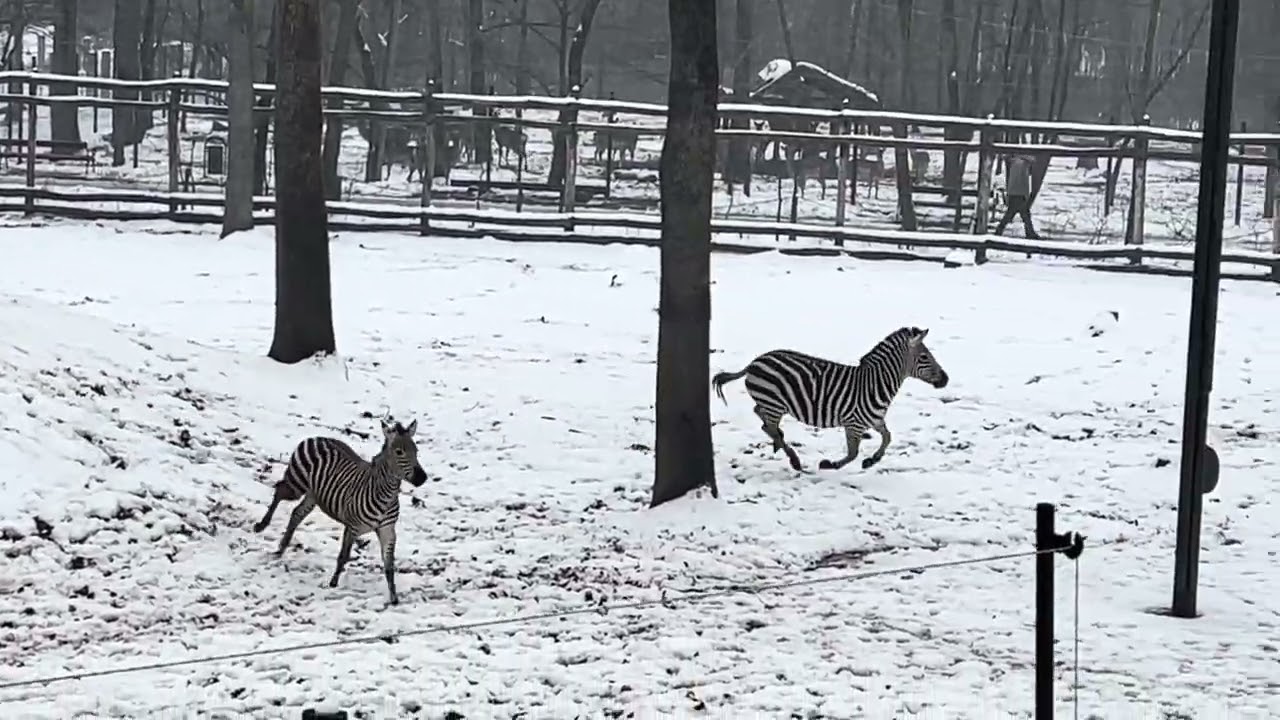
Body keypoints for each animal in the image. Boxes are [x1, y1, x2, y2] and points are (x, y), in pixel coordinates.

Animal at [252, 417, 428, 605]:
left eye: (416, 451)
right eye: (399, 452)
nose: (422, 478)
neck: (387, 495)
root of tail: (315, 437)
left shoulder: (388, 531)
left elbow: (389, 566)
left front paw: (394, 597)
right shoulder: (352, 527)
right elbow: (344, 556)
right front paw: (333, 583)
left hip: (313, 495)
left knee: (297, 513)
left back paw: (281, 547)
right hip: (297, 484)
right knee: (279, 491)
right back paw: (261, 526)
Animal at [712, 326, 949, 472]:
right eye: (924, 357)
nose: (946, 379)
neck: (876, 383)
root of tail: (755, 362)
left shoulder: (875, 420)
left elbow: (888, 437)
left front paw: (872, 460)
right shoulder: (854, 424)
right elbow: (853, 454)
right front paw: (830, 465)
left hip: (773, 403)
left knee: (762, 418)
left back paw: (780, 442)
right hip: (775, 403)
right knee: (768, 424)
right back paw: (793, 458)